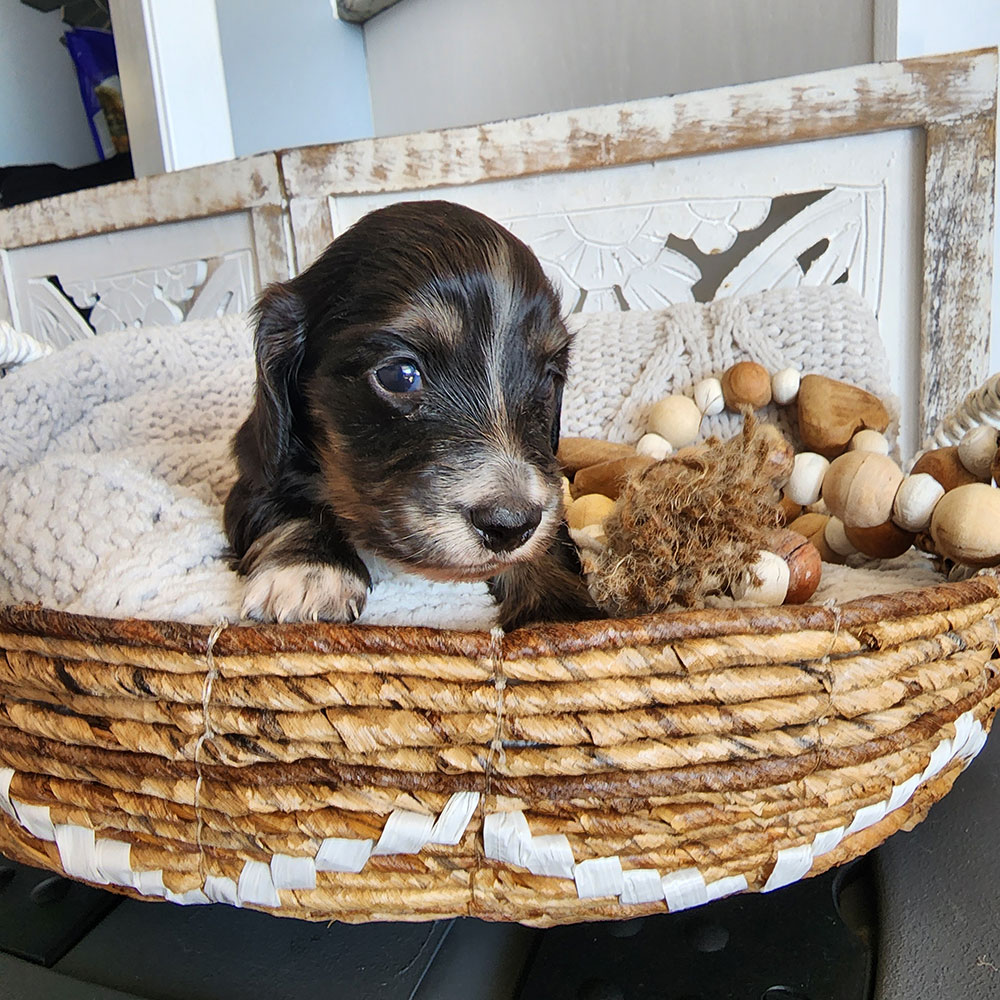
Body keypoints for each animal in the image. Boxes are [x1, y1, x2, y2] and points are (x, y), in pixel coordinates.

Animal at [225, 199, 592, 628]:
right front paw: (309, 570)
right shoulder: (255, 475)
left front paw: (556, 606)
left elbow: (547, 542)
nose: (509, 524)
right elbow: (287, 503)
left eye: (548, 379)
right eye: (399, 375)